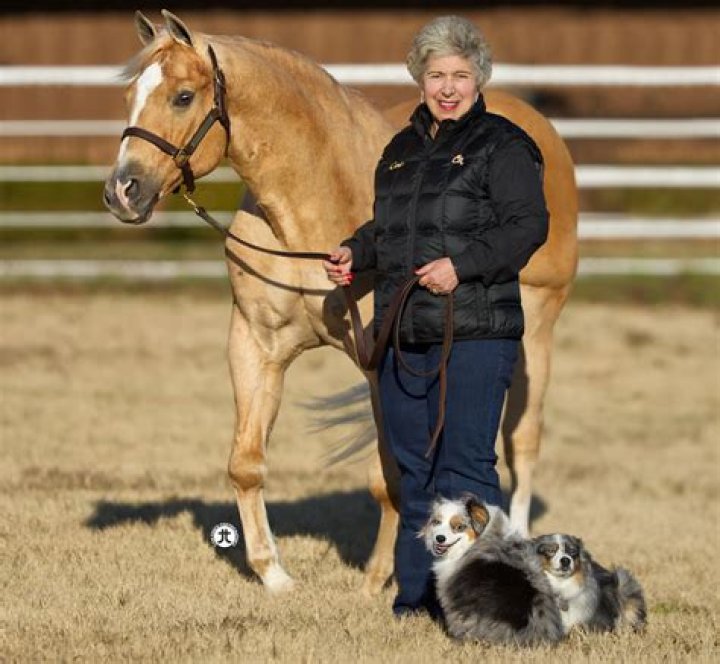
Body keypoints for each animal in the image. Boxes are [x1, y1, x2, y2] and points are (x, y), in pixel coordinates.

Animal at [104, 11, 578, 595]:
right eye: (131, 94)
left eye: (183, 97)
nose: (122, 191)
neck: (311, 207)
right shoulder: (254, 345)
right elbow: (247, 463)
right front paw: (274, 574)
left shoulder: (384, 365)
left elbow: (391, 476)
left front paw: (376, 581)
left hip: (535, 332)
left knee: (523, 441)